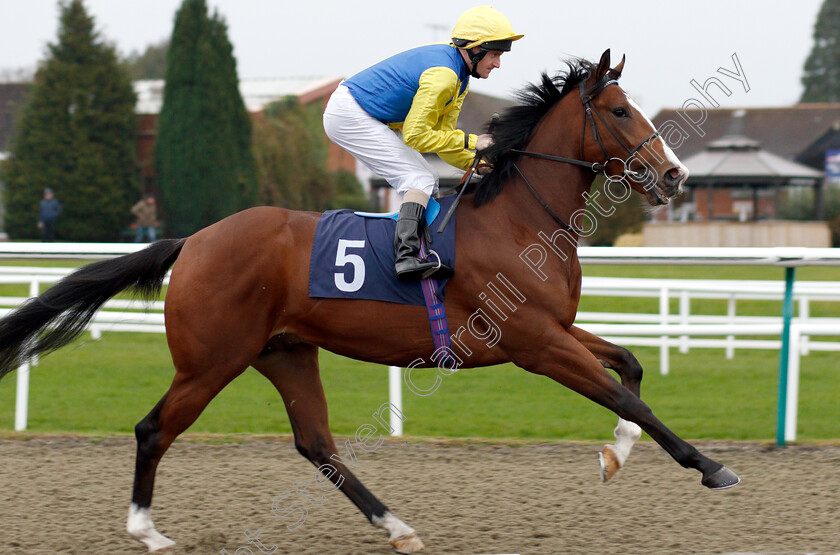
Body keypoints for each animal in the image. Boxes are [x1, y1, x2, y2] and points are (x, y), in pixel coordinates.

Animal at [0, 50, 736, 552]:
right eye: (618, 111)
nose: (675, 174)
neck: (521, 219)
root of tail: (195, 238)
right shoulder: (533, 342)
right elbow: (629, 398)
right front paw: (710, 466)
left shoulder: (554, 328)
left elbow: (630, 367)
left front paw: (616, 454)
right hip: (211, 359)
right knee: (155, 428)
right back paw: (146, 530)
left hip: (285, 351)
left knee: (317, 443)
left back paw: (397, 524)